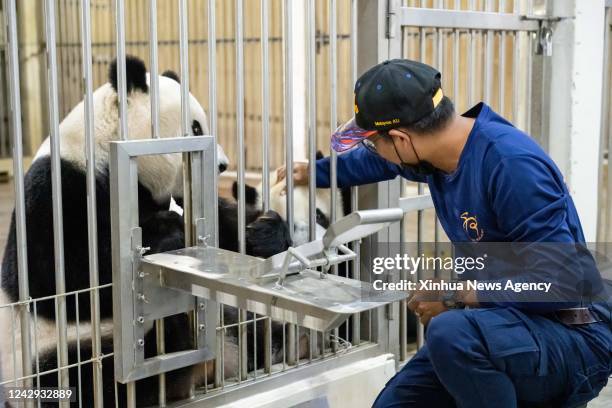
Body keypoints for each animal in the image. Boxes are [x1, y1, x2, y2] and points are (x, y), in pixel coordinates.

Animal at [0, 55, 292, 406]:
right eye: (196, 127)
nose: (222, 165)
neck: (104, 150)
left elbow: (219, 233)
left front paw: (263, 233)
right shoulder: (59, 187)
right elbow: (58, 276)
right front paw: (167, 232)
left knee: (248, 323)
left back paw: (277, 344)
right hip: (48, 353)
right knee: (87, 377)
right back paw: (175, 338)